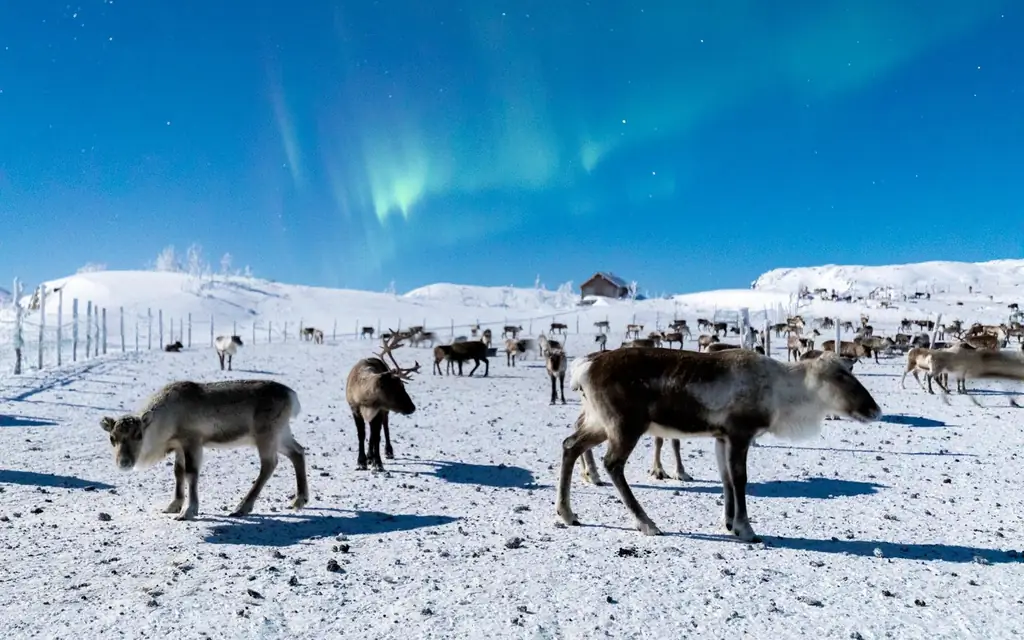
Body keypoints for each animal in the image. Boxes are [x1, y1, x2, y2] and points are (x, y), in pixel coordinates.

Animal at [100, 379, 307, 521]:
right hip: (281, 433)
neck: (165, 421)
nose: (124, 462)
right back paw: (299, 500)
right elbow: (178, 472)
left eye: (139, 435)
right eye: (112, 438)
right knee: (297, 452)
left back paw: (242, 507)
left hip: (266, 434)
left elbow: (191, 473)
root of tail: (292, 396)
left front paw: (188, 511)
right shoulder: (179, 446)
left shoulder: (192, 440)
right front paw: (174, 505)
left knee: (269, 464)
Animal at [345, 330, 420, 471]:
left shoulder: (379, 410)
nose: (412, 408)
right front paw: (361, 461)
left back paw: (387, 451)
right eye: (397, 388)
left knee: (384, 427)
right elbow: (361, 434)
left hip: (384, 411)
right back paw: (369, 456)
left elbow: (377, 436)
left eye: (403, 385)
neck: (366, 400)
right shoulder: (354, 408)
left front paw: (378, 463)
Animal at [558, 348, 881, 540]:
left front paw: (728, 522)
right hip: (625, 425)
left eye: (849, 370)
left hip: (599, 422)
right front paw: (745, 528)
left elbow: (726, 479)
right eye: (840, 375)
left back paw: (567, 513)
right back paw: (646, 522)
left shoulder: (721, 436)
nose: (875, 409)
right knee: (612, 463)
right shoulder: (740, 433)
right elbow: (740, 479)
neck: (783, 392)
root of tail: (586, 366)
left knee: (570, 445)